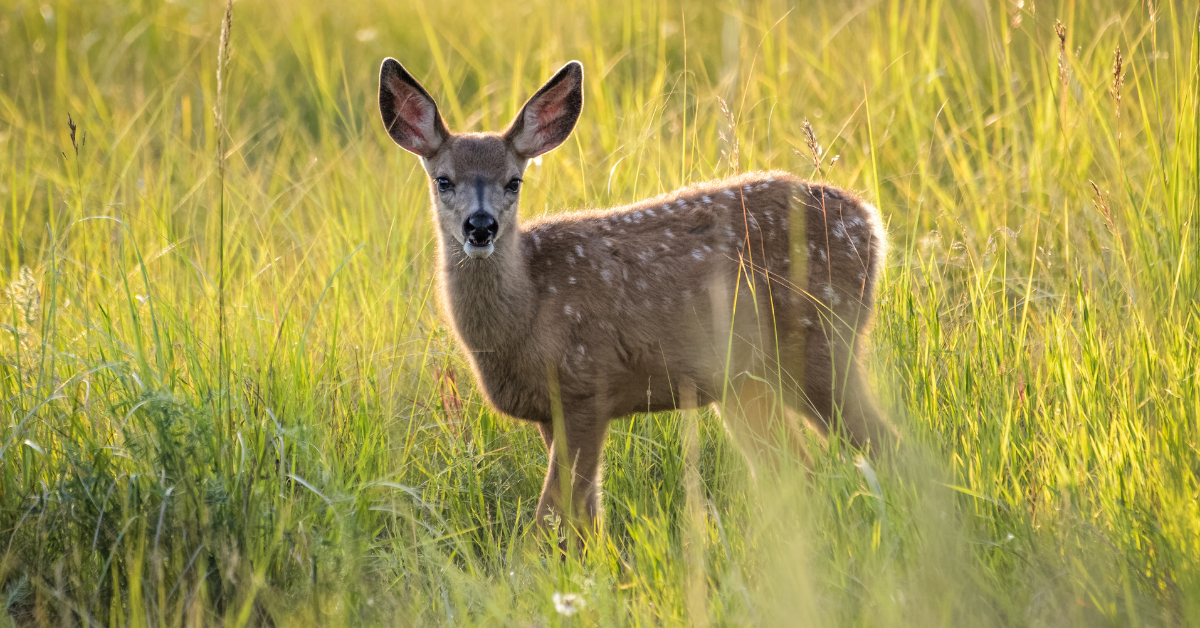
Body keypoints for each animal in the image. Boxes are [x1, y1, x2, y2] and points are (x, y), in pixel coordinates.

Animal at [378, 57, 899, 542]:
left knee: (885, 444)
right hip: (745, 381)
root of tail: (870, 221)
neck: (526, 312)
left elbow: (552, 516)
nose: (481, 226)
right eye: (443, 180)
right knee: (792, 470)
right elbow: (585, 517)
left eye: (514, 181)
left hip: (821, 341)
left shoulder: (585, 385)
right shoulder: (551, 409)